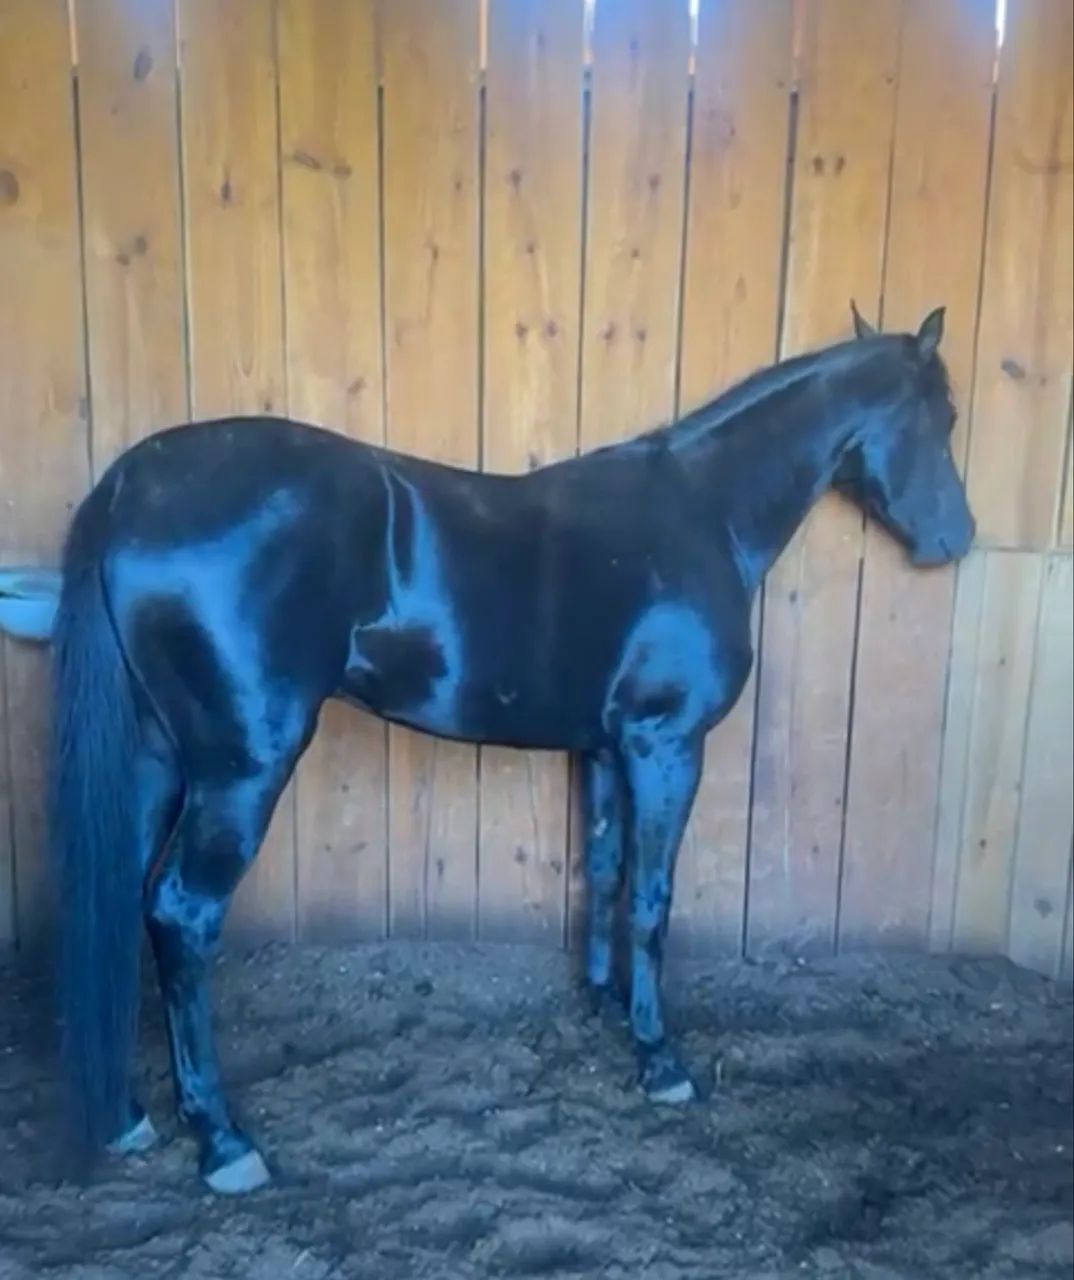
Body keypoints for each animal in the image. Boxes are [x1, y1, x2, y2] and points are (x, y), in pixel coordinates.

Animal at [47, 302, 974, 1194]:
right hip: (240, 770)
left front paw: (603, 1004)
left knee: (122, 899)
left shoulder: (604, 749)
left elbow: (605, 871)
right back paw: (223, 1142)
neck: (703, 512)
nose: (955, 540)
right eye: (942, 417)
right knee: (182, 913)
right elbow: (653, 898)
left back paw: (127, 1116)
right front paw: (659, 1060)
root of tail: (130, 486)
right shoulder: (666, 743)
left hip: (156, 760)